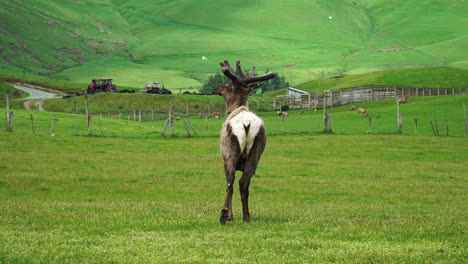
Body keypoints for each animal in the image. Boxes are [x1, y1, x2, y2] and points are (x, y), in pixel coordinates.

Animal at [218, 60, 276, 225]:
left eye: (228, 85)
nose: (218, 87)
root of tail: (246, 123)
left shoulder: (223, 158)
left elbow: (228, 183)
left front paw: (230, 215)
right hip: (255, 152)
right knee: (244, 183)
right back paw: (246, 217)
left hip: (231, 151)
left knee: (231, 182)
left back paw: (224, 215)